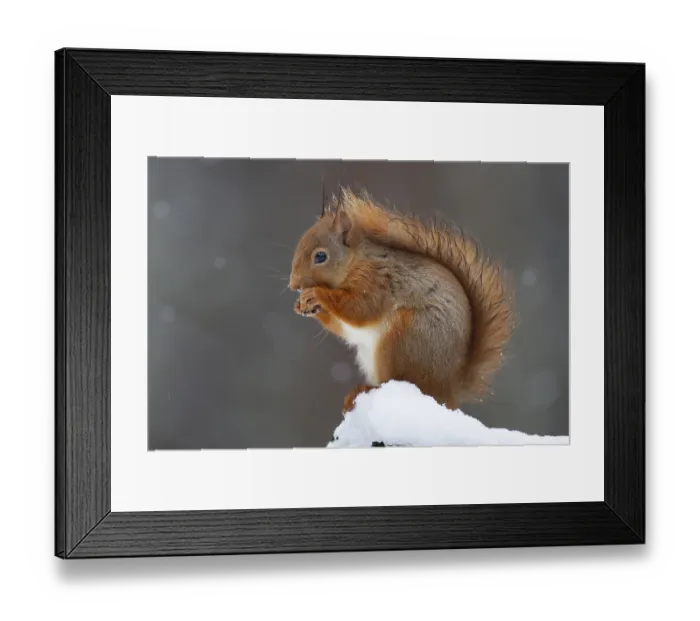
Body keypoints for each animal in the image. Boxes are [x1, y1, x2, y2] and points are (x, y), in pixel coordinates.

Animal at [289, 186, 515, 415]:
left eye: (320, 257)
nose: (294, 285)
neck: (356, 262)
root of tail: (450, 390)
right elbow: (344, 327)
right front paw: (301, 305)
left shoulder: (378, 282)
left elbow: (361, 310)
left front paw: (316, 294)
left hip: (404, 338)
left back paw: (365, 389)